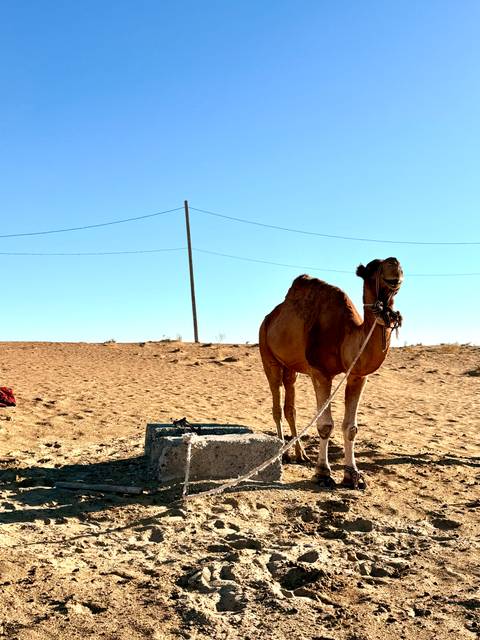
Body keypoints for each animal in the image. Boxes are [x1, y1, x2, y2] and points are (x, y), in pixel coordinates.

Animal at [259, 257, 403, 489]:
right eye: (372, 268)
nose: (394, 263)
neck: (344, 336)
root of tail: (269, 318)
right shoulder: (320, 372)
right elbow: (325, 425)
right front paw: (323, 473)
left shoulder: (358, 376)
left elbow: (351, 427)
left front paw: (353, 475)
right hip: (267, 353)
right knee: (276, 406)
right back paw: (282, 454)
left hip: (291, 368)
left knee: (290, 407)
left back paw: (300, 455)